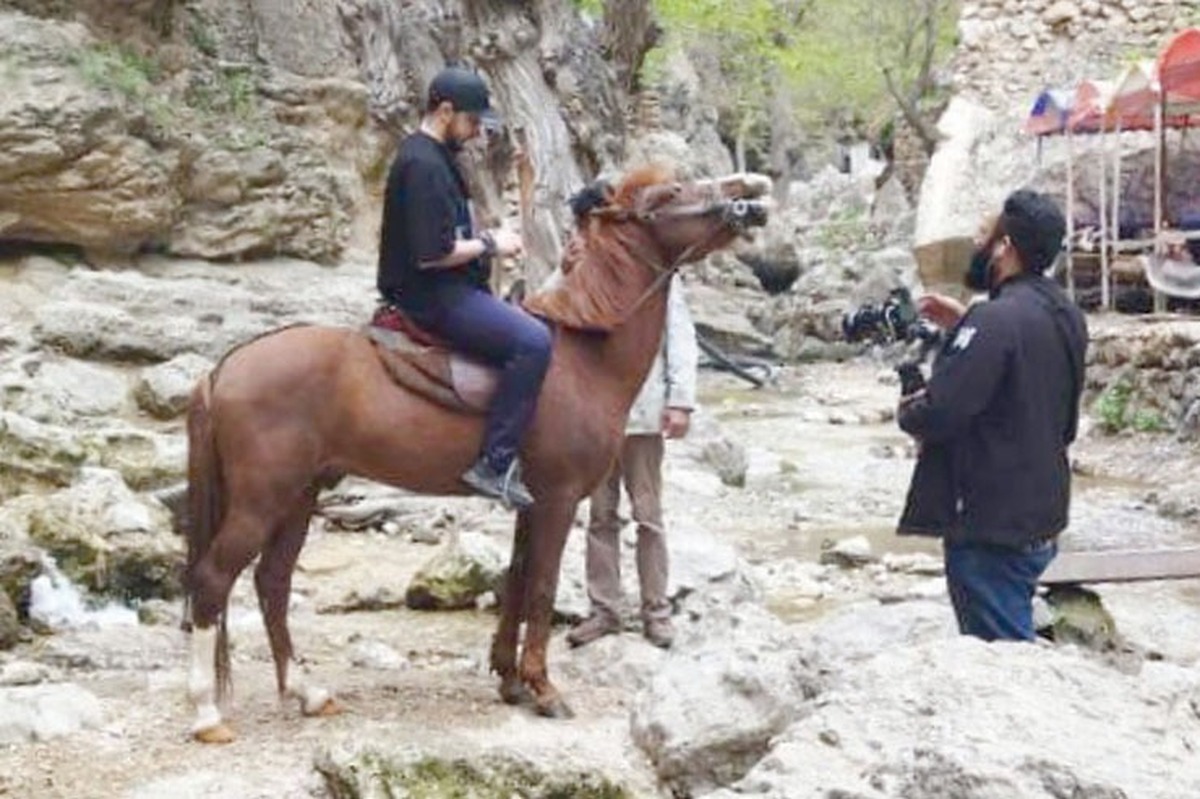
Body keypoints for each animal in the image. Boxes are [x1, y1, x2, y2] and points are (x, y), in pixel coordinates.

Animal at [182, 166, 772, 739]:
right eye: (670, 193)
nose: (751, 195)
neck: (585, 358)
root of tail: (224, 369)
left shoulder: (531, 502)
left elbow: (516, 580)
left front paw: (510, 680)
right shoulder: (558, 500)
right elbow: (542, 588)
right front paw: (544, 689)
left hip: (299, 497)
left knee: (272, 582)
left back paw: (308, 693)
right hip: (262, 500)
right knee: (212, 581)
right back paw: (206, 714)